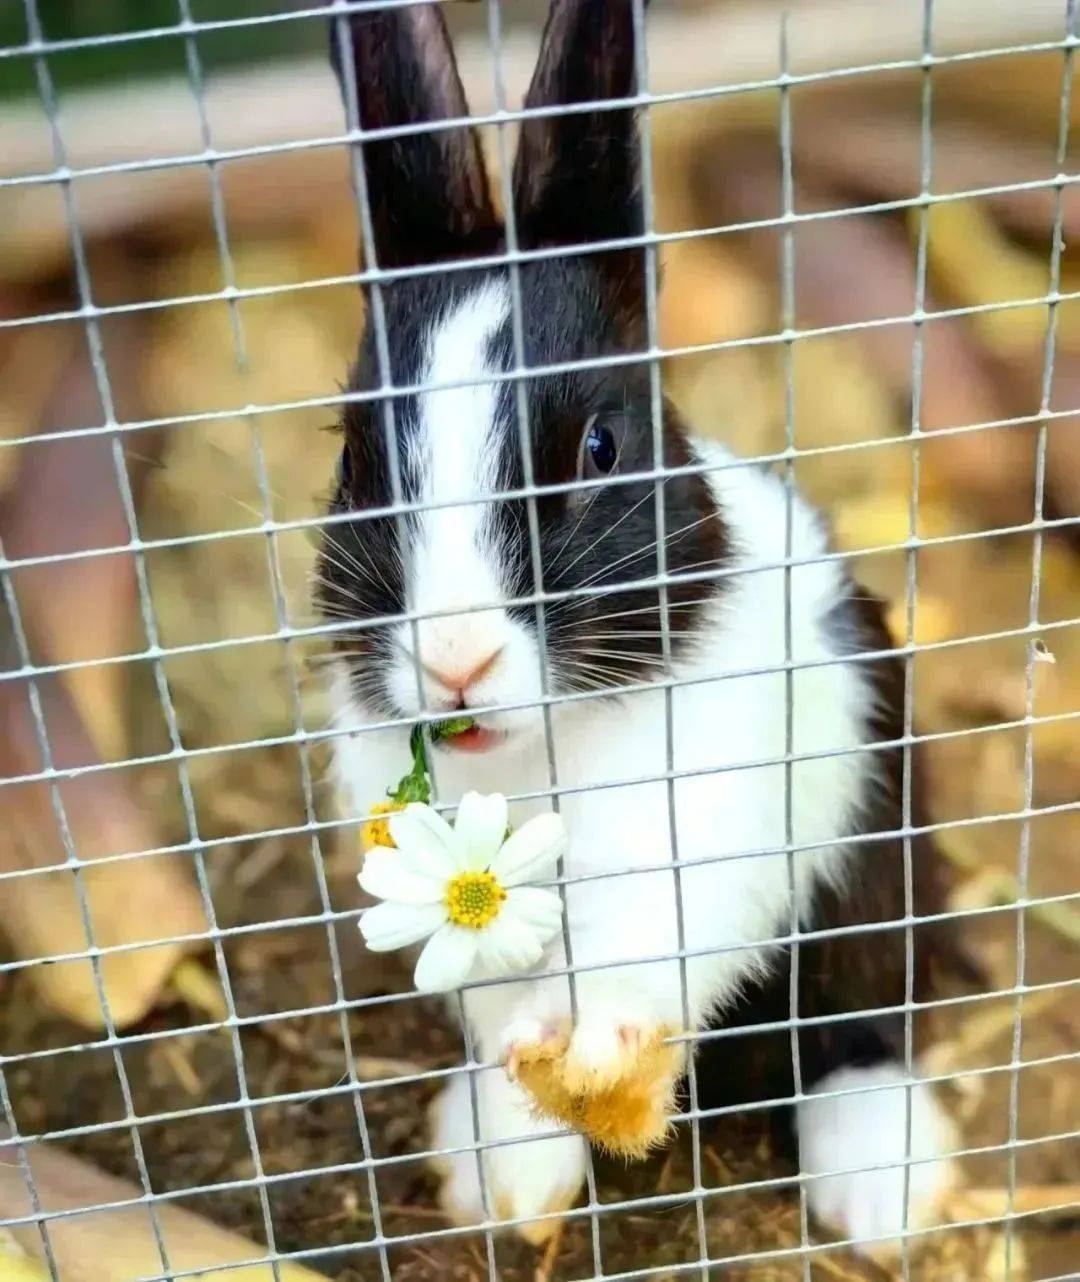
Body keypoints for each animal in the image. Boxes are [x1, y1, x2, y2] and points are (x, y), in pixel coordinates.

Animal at [319, 0, 962, 1256]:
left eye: (599, 449)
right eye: (356, 460)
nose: (455, 659)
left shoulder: (702, 847)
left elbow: (644, 958)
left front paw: (596, 1050)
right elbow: (504, 1027)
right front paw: (520, 1173)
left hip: (874, 891)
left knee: (859, 1028)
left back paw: (882, 1193)